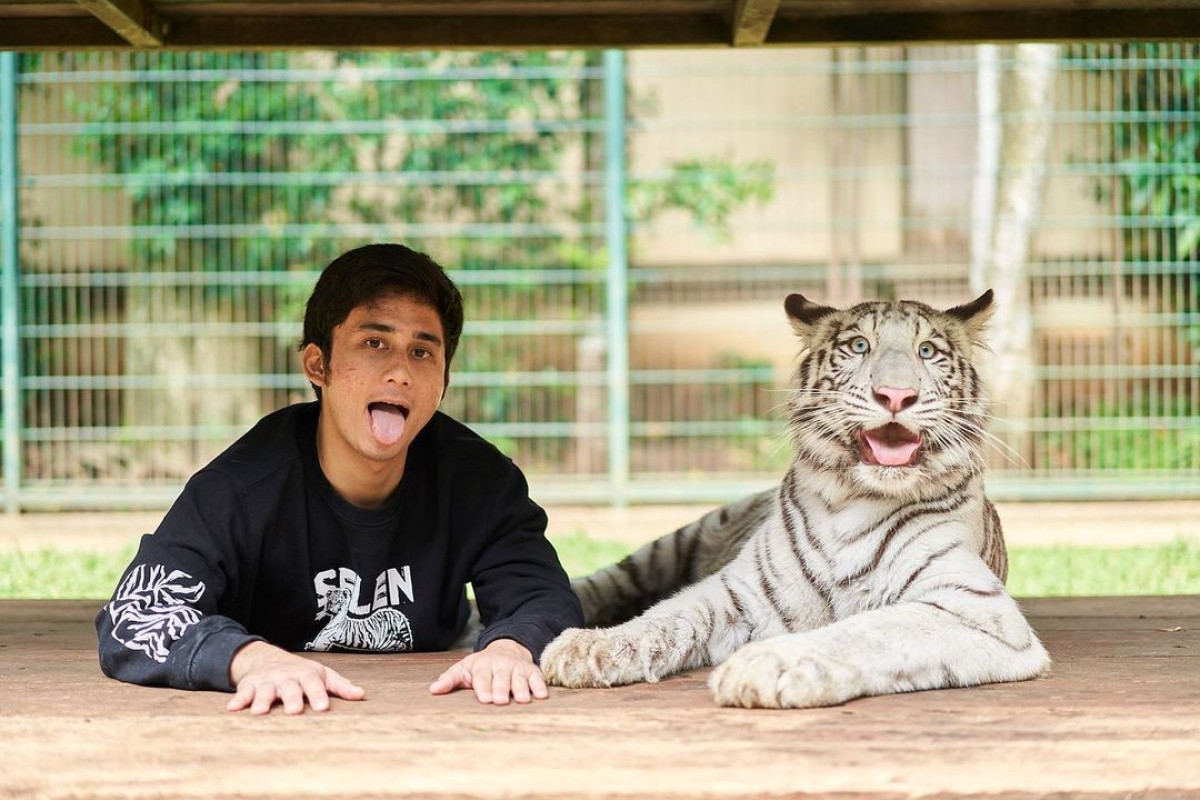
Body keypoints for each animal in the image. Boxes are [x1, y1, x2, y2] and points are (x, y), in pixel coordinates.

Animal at [544, 291, 1051, 710]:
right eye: (859, 346)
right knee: (605, 581)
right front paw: (588, 647)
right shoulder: (738, 590)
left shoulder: (977, 609)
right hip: (673, 544)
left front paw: (765, 665)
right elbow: (668, 614)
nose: (896, 395)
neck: (854, 500)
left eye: (927, 351)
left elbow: (867, 629)